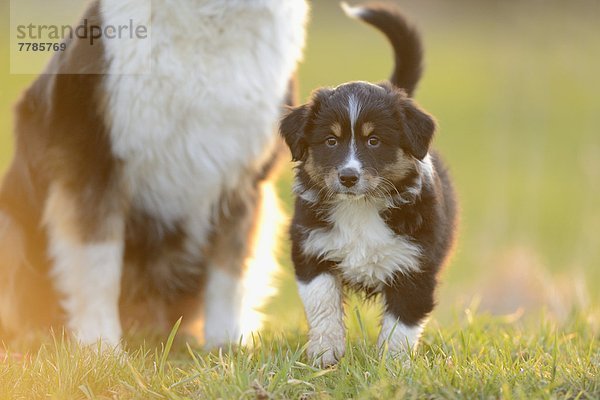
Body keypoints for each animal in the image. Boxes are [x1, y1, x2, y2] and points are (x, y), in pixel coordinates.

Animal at [0, 0, 308, 348]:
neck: (208, 18)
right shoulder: (93, 159)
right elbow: (99, 264)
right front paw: (101, 347)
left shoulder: (244, 176)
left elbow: (230, 270)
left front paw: (226, 345)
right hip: (7, 223)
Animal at [278, 2, 458, 368]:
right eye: (331, 141)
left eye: (374, 141)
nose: (348, 177)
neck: (360, 208)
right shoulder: (311, 247)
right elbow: (322, 303)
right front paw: (325, 355)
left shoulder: (416, 265)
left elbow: (402, 326)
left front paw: (394, 368)